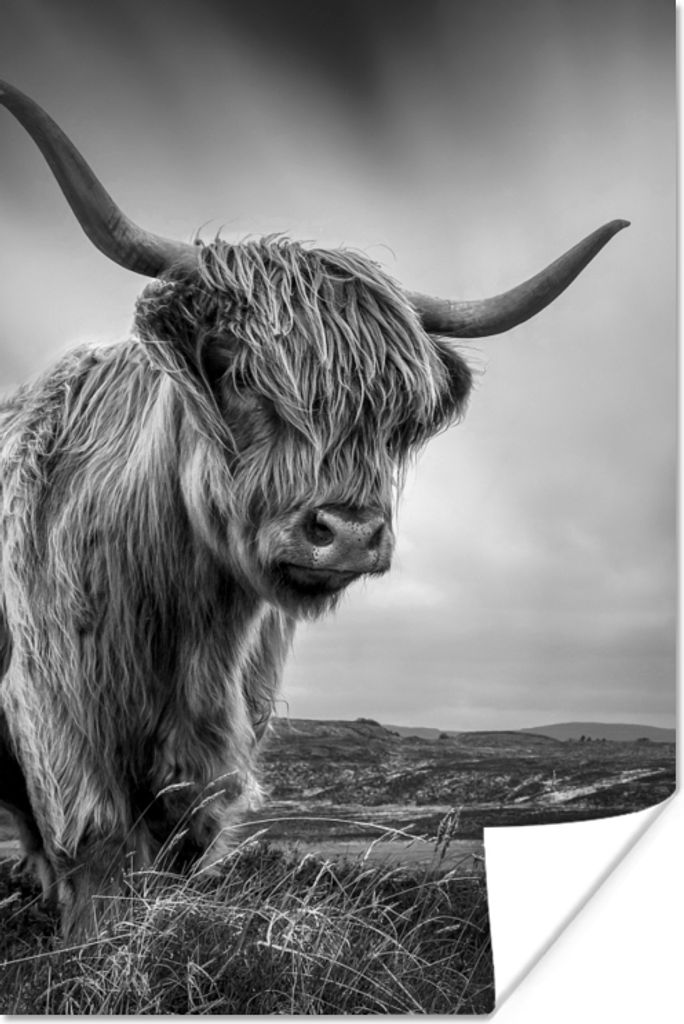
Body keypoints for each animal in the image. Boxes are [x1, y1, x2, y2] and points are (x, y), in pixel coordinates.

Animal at [0, 80, 628, 935]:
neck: (188, 624)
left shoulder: (212, 764)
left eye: (395, 414)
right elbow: (94, 864)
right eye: (232, 367)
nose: (350, 532)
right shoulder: (60, 727)